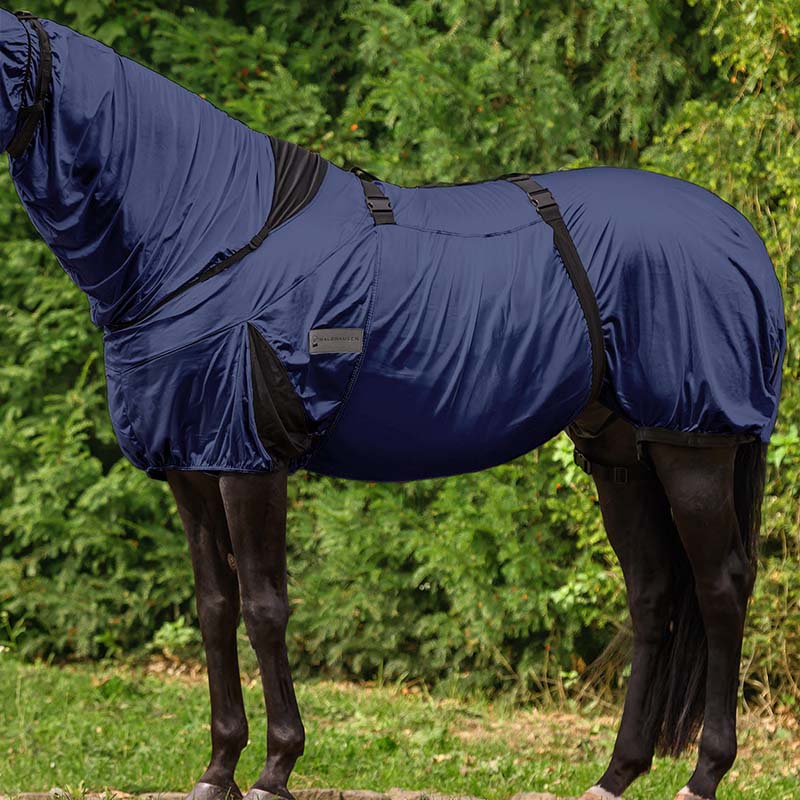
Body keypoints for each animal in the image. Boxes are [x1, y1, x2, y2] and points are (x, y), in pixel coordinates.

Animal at [0, 10, 785, 800]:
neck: (209, 241)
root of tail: (740, 235)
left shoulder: (251, 463)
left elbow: (264, 608)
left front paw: (276, 766)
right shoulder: (192, 463)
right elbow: (215, 609)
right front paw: (218, 768)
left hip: (693, 444)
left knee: (721, 588)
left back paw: (705, 773)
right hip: (621, 453)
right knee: (653, 593)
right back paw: (615, 774)